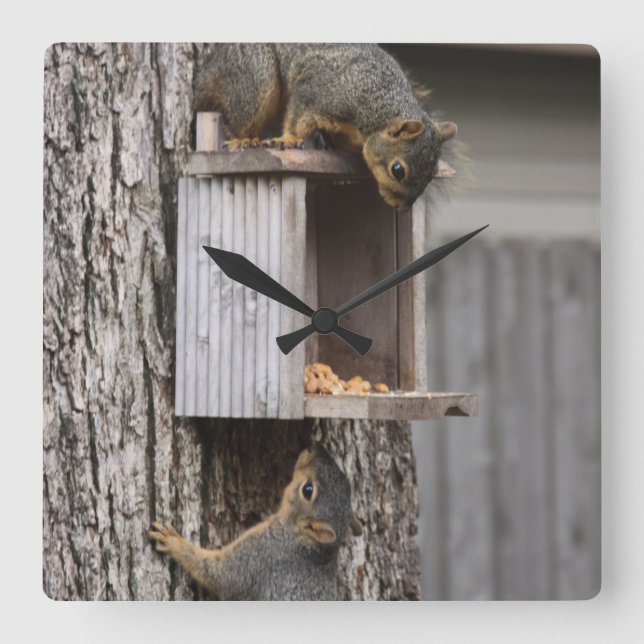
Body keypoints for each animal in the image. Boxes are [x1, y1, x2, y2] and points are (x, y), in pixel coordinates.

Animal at [149, 443, 362, 600]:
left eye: (308, 490)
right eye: (347, 483)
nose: (314, 447)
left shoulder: (261, 554)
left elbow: (220, 575)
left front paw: (173, 541)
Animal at [193, 43, 457, 209]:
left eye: (432, 175)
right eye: (398, 170)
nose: (402, 208)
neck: (377, 104)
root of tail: (213, 64)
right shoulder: (316, 92)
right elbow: (297, 117)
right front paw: (289, 139)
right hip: (256, 76)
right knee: (237, 119)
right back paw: (244, 140)